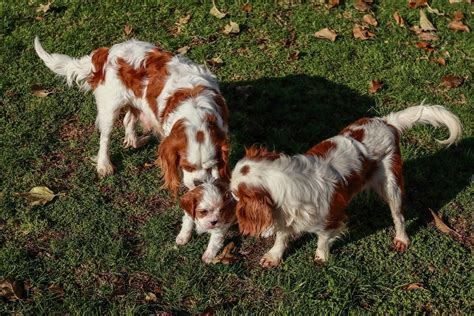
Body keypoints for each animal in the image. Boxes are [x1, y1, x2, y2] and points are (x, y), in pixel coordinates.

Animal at [34, 38, 231, 194]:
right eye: (187, 166)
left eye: (210, 166)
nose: (199, 183)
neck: (195, 110)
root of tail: (105, 52)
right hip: (110, 107)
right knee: (105, 138)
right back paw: (104, 165)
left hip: (137, 103)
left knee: (128, 120)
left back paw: (137, 140)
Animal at [228, 105, 462, 268]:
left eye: (235, 195)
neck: (288, 179)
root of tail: (387, 122)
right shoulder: (284, 214)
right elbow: (282, 236)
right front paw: (274, 256)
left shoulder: (331, 218)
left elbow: (323, 239)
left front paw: (321, 257)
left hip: (391, 185)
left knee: (399, 216)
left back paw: (401, 239)